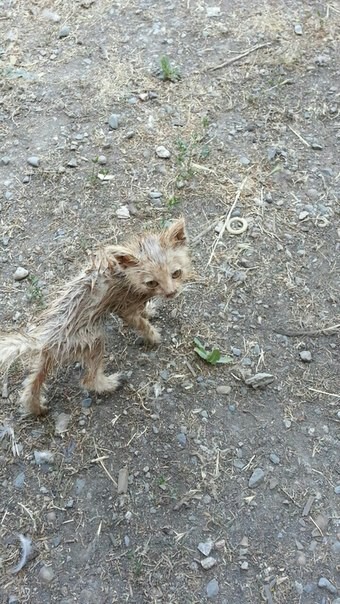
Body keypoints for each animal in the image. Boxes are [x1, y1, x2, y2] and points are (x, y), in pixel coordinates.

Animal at [0, 216, 191, 416]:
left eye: (176, 273)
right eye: (152, 282)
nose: (171, 293)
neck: (124, 275)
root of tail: (47, 339)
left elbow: (143, 311)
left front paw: (149, 311)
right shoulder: (125, 309)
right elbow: (141, 323)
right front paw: (153, 336)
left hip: (50, 356)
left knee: (32, 385)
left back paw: (35, 407)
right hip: (93, 340)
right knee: (88, 380)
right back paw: (110, 383)